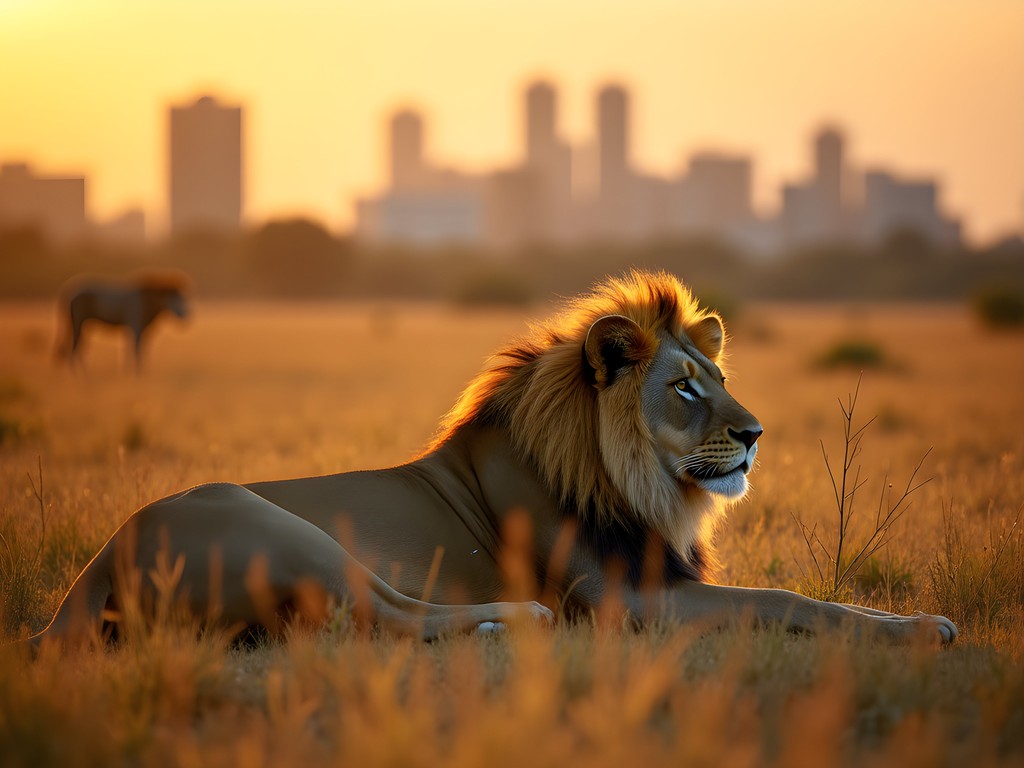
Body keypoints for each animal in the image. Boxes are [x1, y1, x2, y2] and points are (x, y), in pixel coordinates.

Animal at [24, 270, 957, 649]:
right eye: (686, 389)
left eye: (722, 378)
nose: (758, 433)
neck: (640, 485)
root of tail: (87, 581)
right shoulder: (626, 602)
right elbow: (785, 598)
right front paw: (919, 630)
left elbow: (822, 598)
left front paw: (920, 622)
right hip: (273, 521)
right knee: (384, 617)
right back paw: (518, 618)